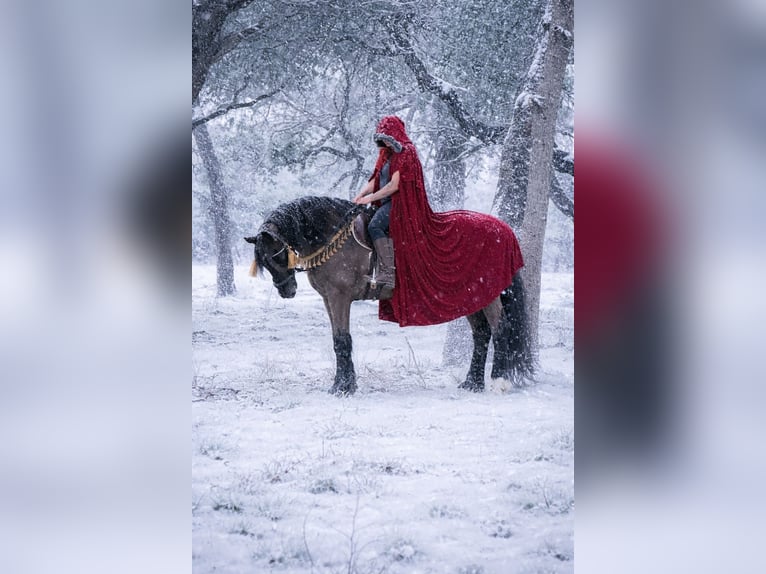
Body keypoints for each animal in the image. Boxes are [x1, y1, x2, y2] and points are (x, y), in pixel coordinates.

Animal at [245, 196, 533, 395]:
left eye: (277, 255)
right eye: (264, 262)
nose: (287, 290)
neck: (331, 237)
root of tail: (503, 229)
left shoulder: (340, 298)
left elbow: (342, 340)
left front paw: (343, 387)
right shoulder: (329, 299)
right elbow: (338, 340)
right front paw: (344, 384)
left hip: (489, 296)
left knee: (501, 330)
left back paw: (499, 381)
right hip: (473, 296)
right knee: (482, 334)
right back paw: (472, 382)